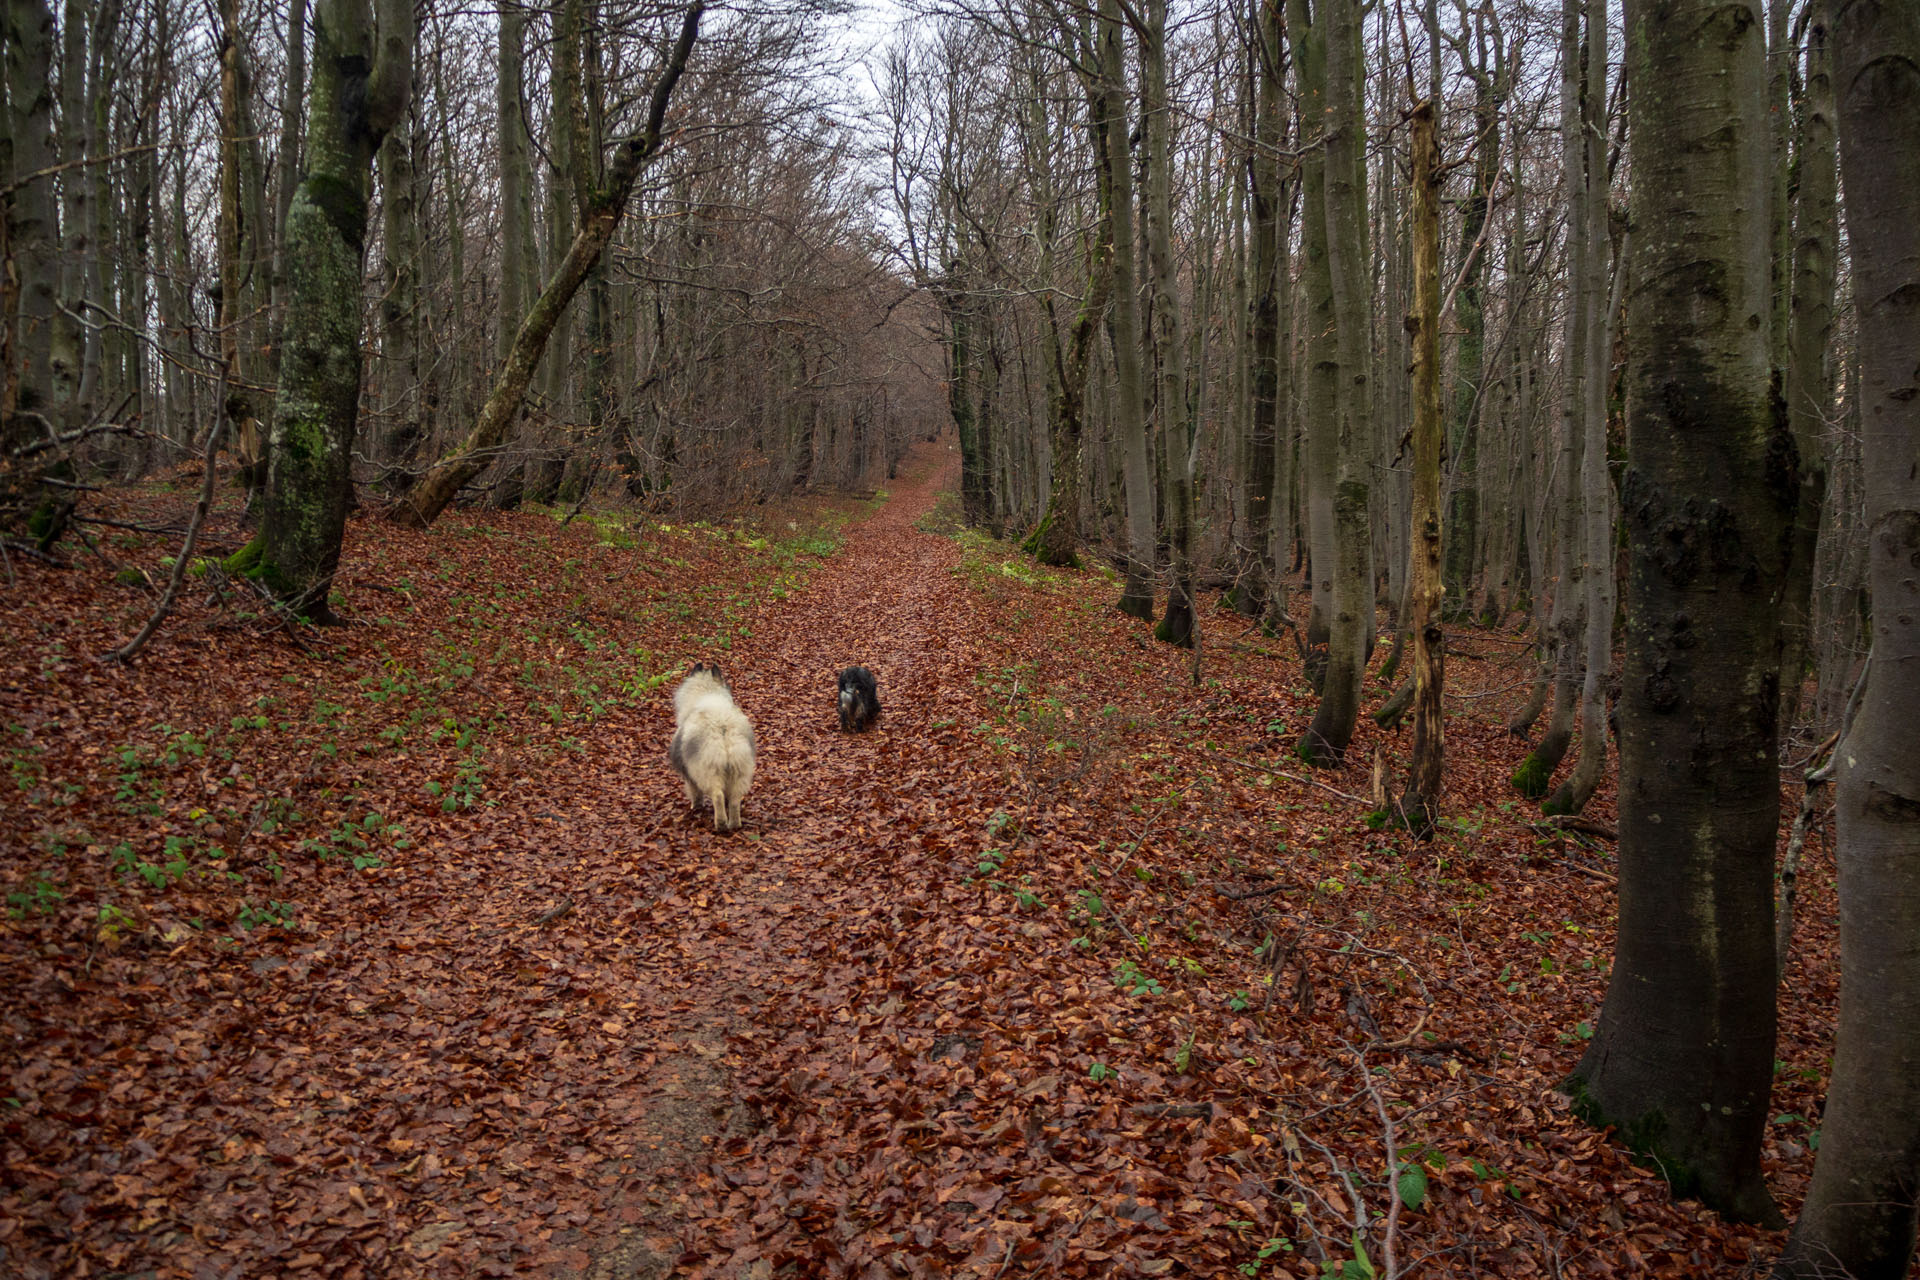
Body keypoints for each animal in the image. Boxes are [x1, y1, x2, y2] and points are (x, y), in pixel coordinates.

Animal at [668, 667, 756, 836]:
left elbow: (694, 792)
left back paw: (720, 823)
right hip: (739, 771)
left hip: (707, 771)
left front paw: (695, 807)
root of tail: (722, 728)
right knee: (734, 799)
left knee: (717, 796)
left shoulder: (689, 774)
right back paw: (734, 824)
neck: (706, 692)